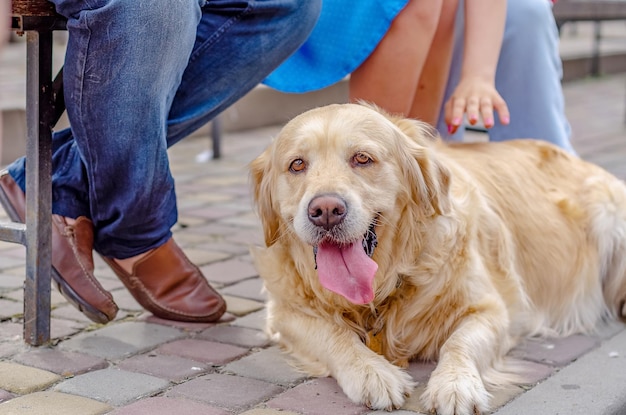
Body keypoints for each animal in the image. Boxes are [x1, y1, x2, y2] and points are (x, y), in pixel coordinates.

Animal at [247, 102, 624, 414]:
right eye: (297, 165)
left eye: (362, 159)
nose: (325, 211)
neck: (384, 285)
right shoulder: (284, 314)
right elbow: (333, 336)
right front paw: (374, 373)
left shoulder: (491, 310)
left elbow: (459, 343)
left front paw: (455, 385)